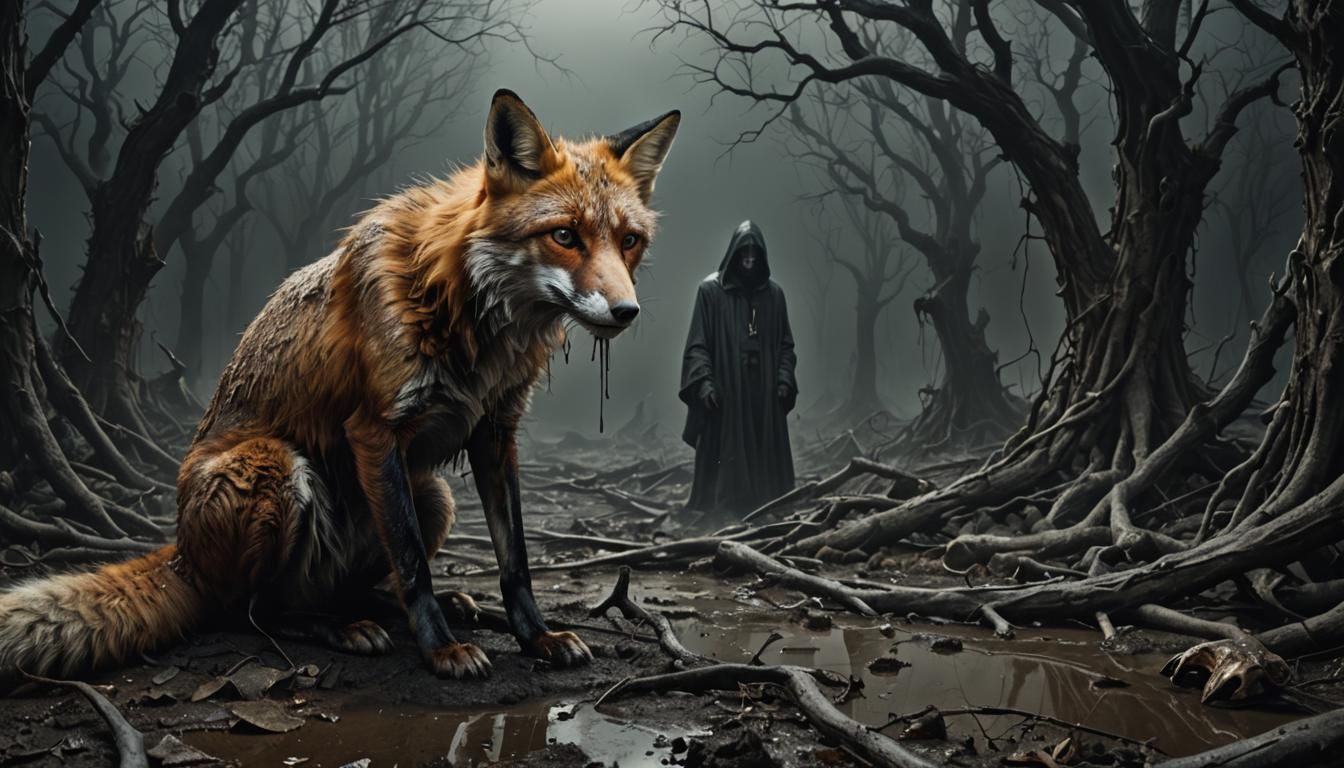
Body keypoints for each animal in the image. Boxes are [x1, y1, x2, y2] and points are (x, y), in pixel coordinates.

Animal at [0, 90, 680, 684]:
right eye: (564, 235)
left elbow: (514, 563)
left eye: (629, 241)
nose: (626, 312)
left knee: (356, 589)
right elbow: (413, 565)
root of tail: (182, 555)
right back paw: (336, 628)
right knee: (253, 612)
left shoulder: (495, 432)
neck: (468, 318)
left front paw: (534, 636)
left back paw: (419, 607)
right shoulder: (375, 431)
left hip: (433, 494)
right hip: (275, 467)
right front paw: (441, 652)